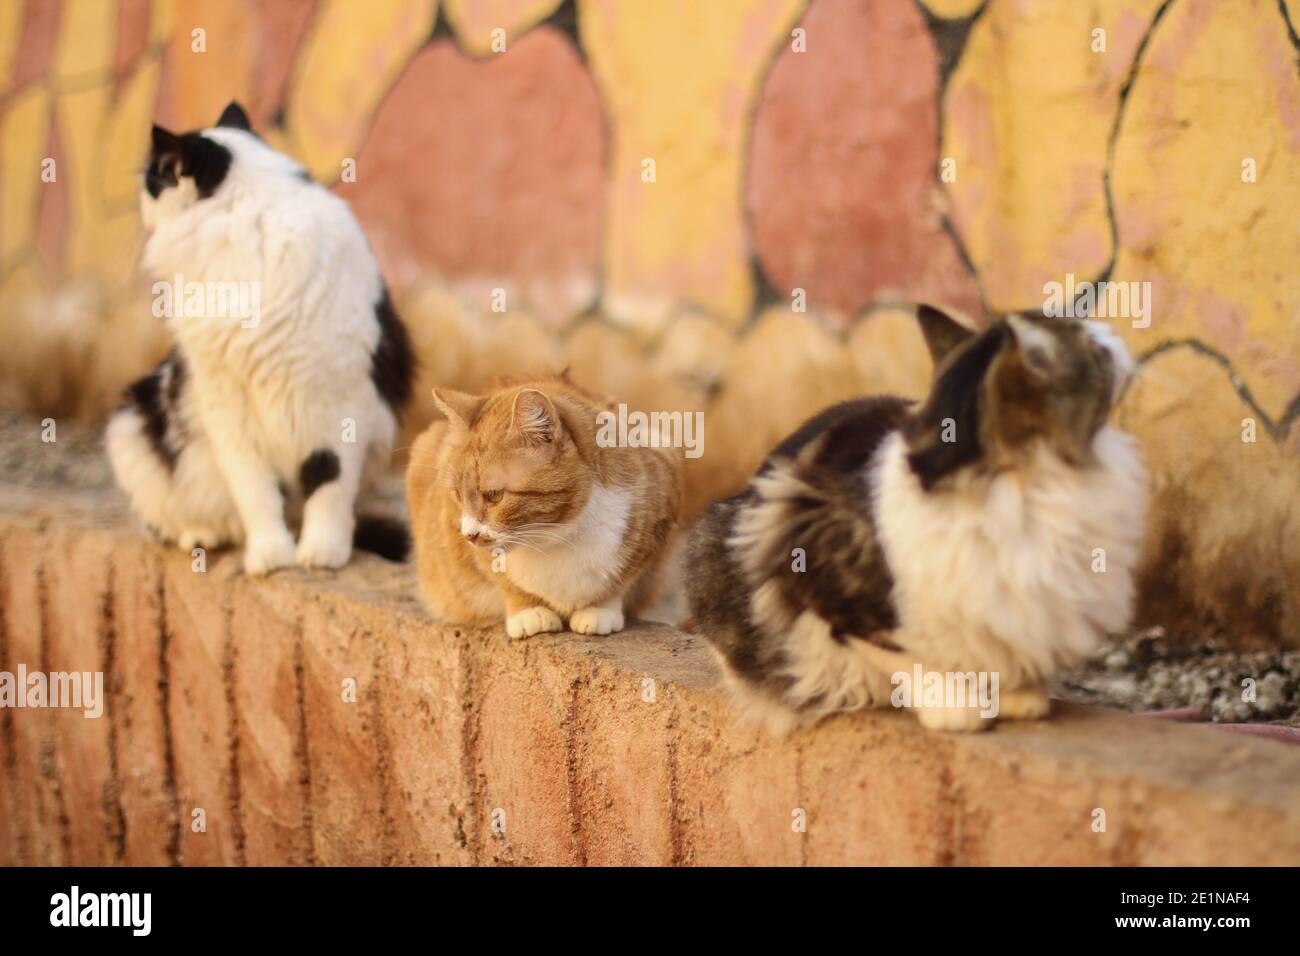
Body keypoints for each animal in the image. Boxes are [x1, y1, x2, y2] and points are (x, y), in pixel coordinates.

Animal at [107, 100, 413, 572]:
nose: (141, 201)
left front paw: (322, 553)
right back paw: (203, 535)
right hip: (132, 428)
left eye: (155, 178)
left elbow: (329, 486)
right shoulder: (226, 403)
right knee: (165, 519)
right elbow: (255, 491)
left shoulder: (339, 402)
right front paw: (270, 556)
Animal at [408, 377, 686, 639]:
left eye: (495, 495)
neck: (555, 536)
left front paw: (600, 608)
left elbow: (621, 580)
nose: (469, 535)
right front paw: (529, 611)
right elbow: (505, 581)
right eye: (457, 495)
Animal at [686, 304, 1144, 733]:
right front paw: (957, 708)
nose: (1113, 330)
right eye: (1097, 349)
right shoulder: (810, 562)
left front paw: (1019, 695)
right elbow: (905, 654)